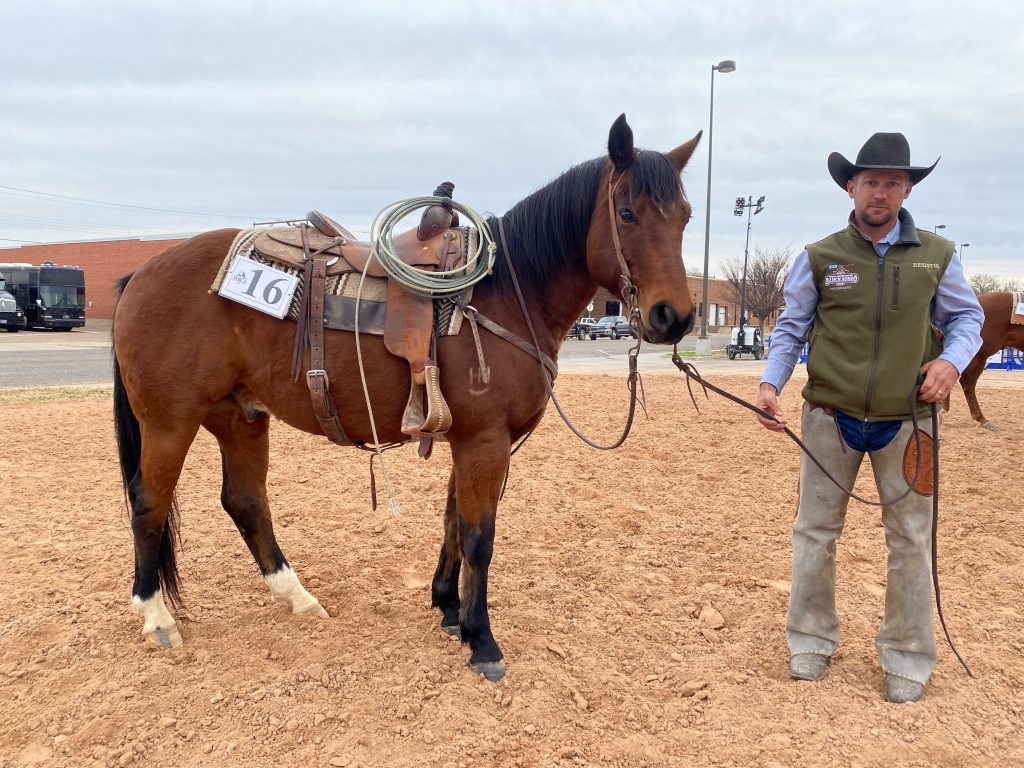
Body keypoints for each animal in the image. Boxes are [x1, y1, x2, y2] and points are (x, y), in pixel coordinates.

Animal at [112, 115, 701, 681]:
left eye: (687, 216)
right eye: (627, 213)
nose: (674, 316)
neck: (509, 296)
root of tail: (140, 274)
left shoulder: (470, 440)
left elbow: (453, 523)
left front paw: (448, 608)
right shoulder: (484, 441)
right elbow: (479, 536)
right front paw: (482, 641)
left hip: (241, 416)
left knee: (245, 501)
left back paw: (297, 597)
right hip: (170, 421)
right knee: (149, 503)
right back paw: (156, 616)